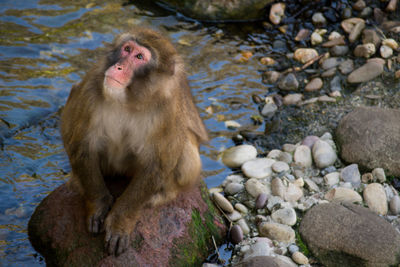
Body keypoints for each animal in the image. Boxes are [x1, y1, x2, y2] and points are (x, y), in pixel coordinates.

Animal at [61, 27, 209, 258]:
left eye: (139, 57)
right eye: (127, 49)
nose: (119, 66)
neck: (130, 99)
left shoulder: (167, 108)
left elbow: (156, 165)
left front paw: (120, 221)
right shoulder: (91, 87)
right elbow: (82, 146)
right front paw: (98, 205)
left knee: (185, 152)